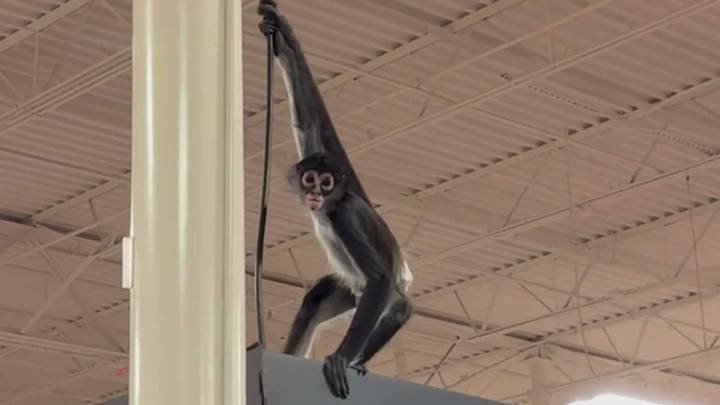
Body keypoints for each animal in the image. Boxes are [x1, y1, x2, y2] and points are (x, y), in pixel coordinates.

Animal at [258, 1, 414, 399]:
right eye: (311, 179)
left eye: (327, 184)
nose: (315, 193)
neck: (329, 208)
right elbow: (312, 123)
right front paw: (282, 33)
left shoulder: (345, 212)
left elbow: (378, 277)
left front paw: (342, 359)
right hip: (350, 292)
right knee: (315, 299)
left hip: (379, 297)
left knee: (398, 307)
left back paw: (357, 359)